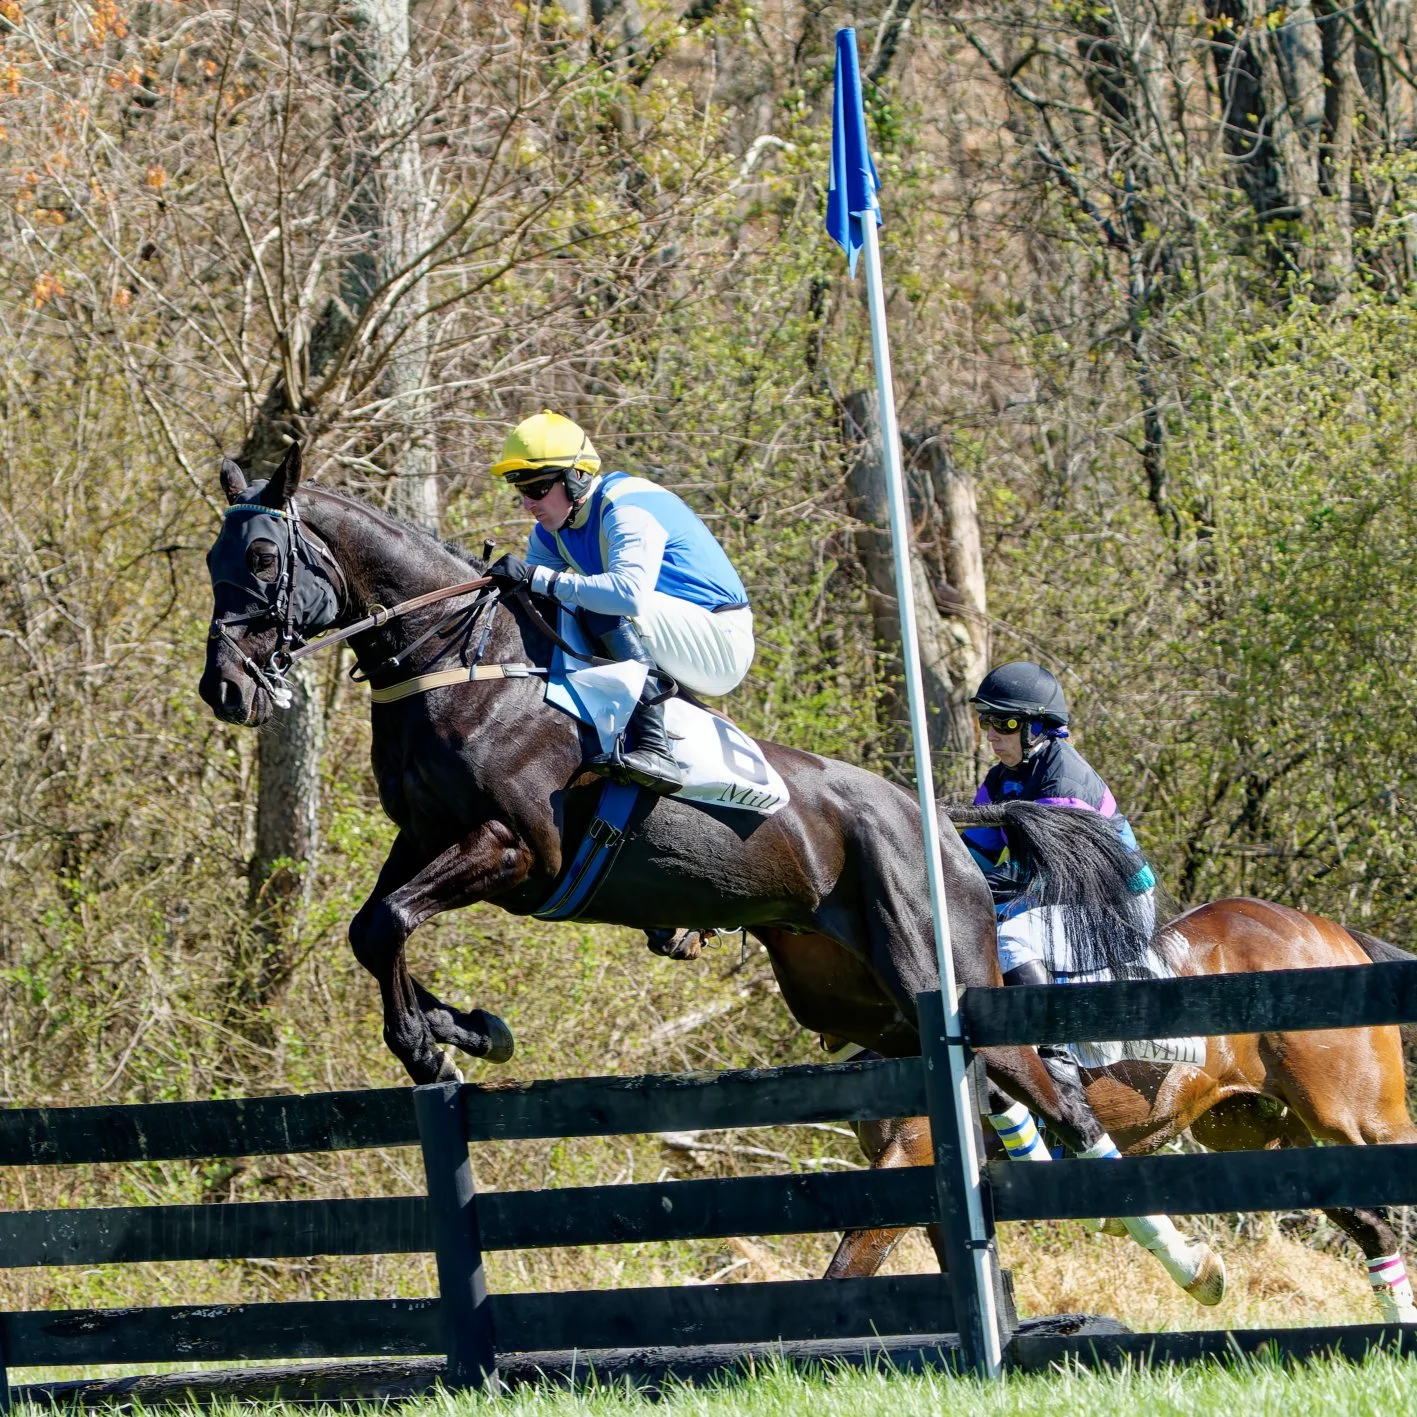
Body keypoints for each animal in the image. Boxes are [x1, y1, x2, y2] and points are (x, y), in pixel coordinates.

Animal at [196, 444, 1221, 1300]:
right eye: (213, 561)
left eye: (262, 558)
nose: (225, 688)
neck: (463, 664)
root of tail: (940, 823)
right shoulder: (426, 838)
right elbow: (374, 926)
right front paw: (464, 1025)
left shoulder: (514, 847)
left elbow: (389, 923)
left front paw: (431, 1038)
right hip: (856, 1001)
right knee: (969, 1120)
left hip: (944, 976)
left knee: (1060, 1100)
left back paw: (1191, 1263)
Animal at [821, 898, 1417, 1323]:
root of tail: (1331, 931)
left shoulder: (908, 1156)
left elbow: (845, 1270)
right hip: (1260, 1130)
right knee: (1373, 1229)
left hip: (1358, 1116)